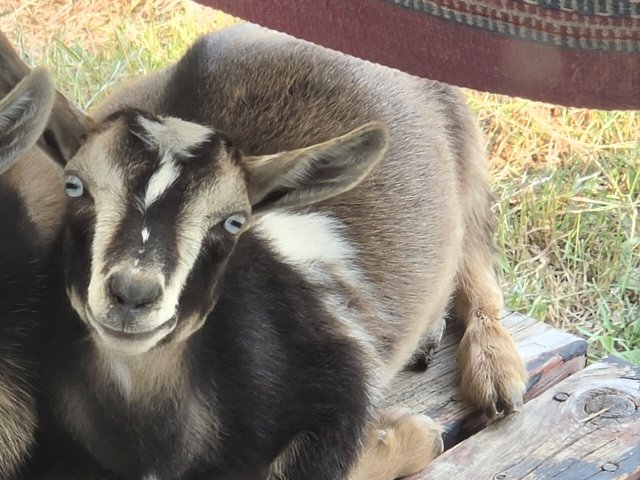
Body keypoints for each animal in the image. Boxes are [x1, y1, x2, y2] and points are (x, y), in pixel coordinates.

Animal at [5, 25, 526, 480]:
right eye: (75, 186)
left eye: (235, 221)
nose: (132, 293)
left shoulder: (337, 383)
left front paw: (414, 435)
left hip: (464, 138)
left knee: (476, 248)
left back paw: (496, 372)